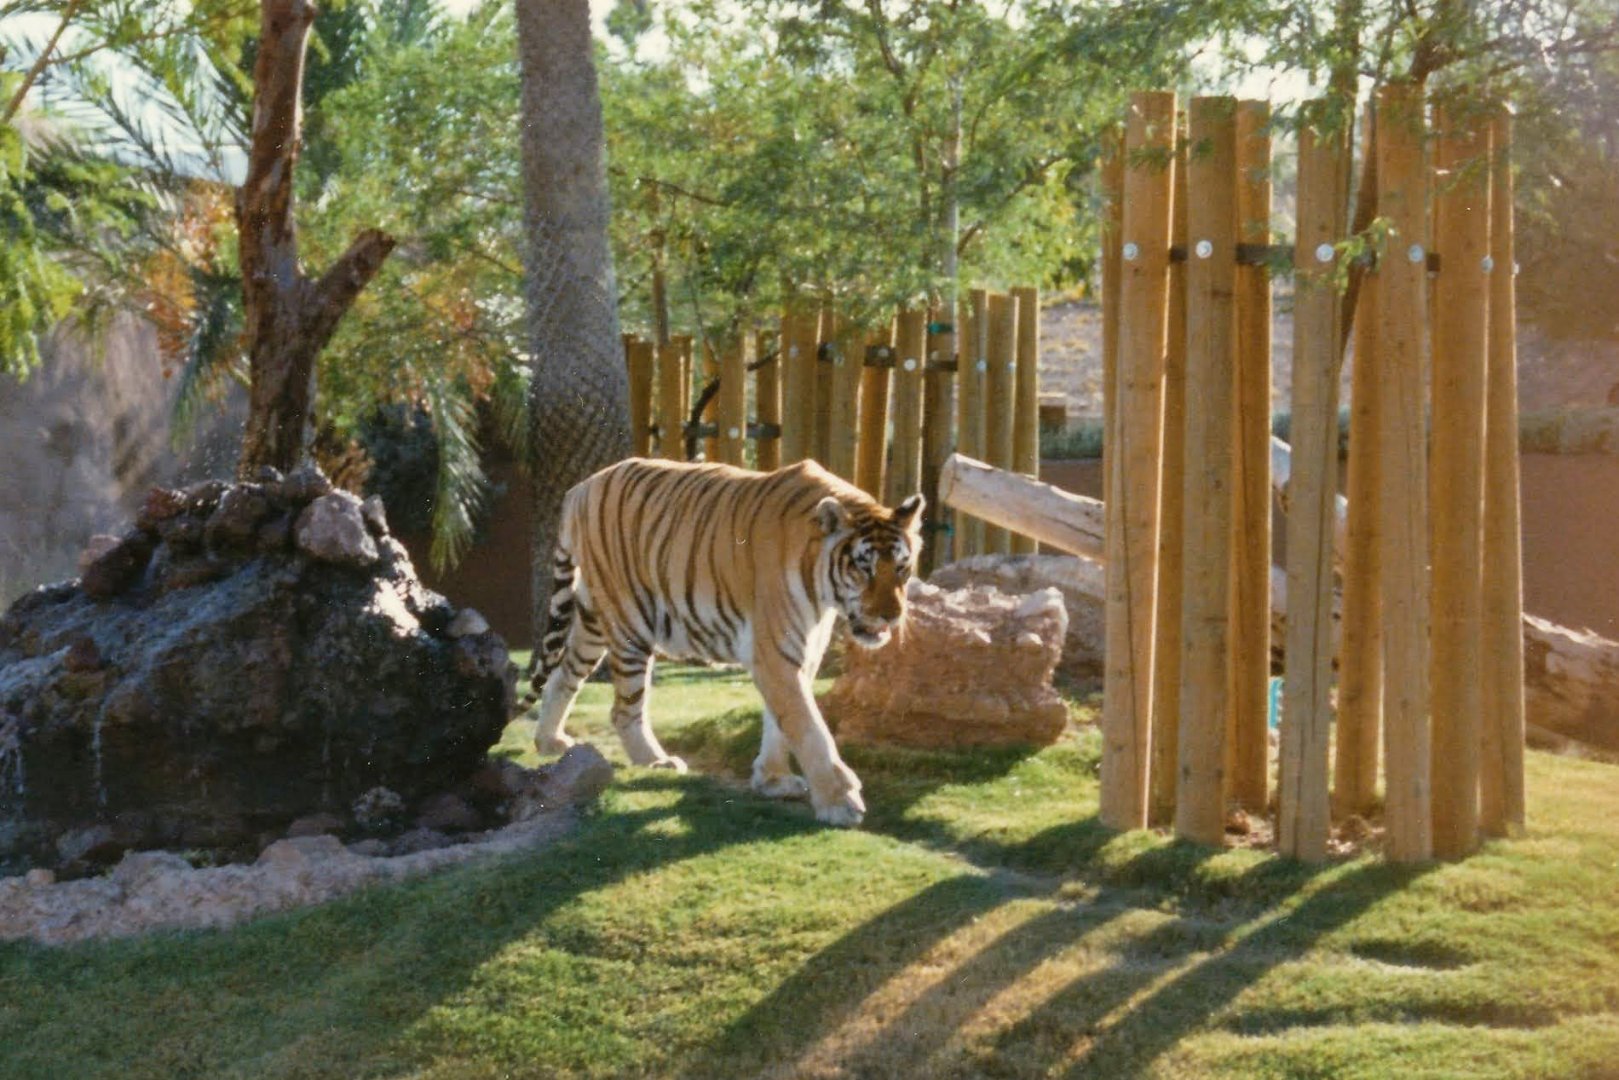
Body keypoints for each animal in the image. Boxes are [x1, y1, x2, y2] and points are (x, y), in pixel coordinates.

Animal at [514, 456, 925, 827]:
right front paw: (840, 802)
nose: (891, 615)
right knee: (623, 709)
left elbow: (782, 720)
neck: (822, 589)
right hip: (629, 621)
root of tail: (580, 488)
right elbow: (809, 727)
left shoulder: (802, 651)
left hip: (593, 618)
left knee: (563, 674)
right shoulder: (775, 651)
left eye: (901, 568)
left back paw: (550, 742)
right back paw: (655, 760)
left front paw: (773, 779)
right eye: (863, 568)